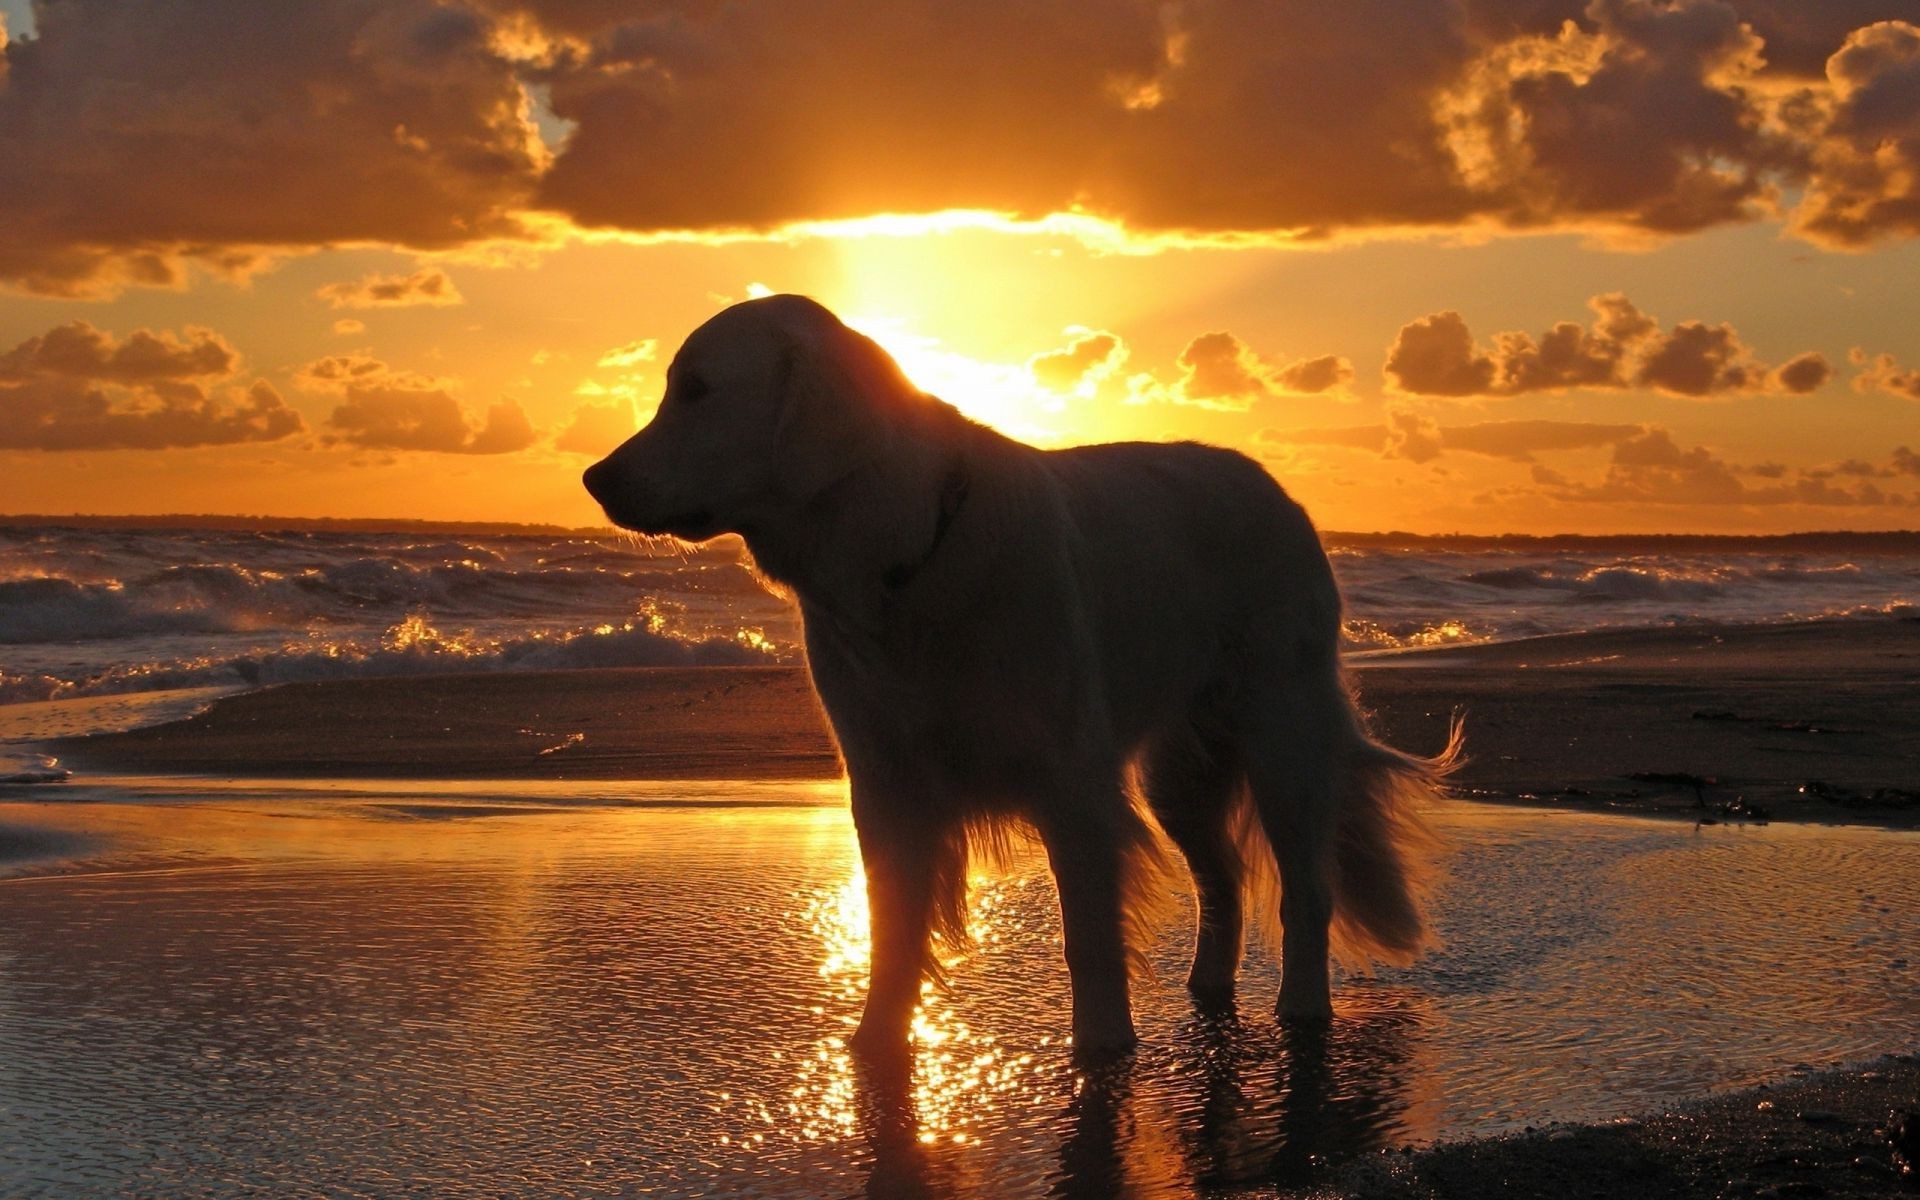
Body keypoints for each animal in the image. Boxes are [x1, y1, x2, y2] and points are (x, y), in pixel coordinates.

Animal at [579, 295, 1451, 1052]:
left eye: (696, 390)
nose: (594, 478)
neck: (909, 560)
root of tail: (1282, 495)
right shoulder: (887, 782)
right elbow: (892, 931)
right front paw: (874, 1048)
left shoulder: (1072, 786)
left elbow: (1088, 941)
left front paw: (1102, 1051)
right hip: (1180, 770)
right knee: (1223, 880)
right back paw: (1207, 991)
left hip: (1281, 739)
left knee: (1306, 886)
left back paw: (1302, 1009)